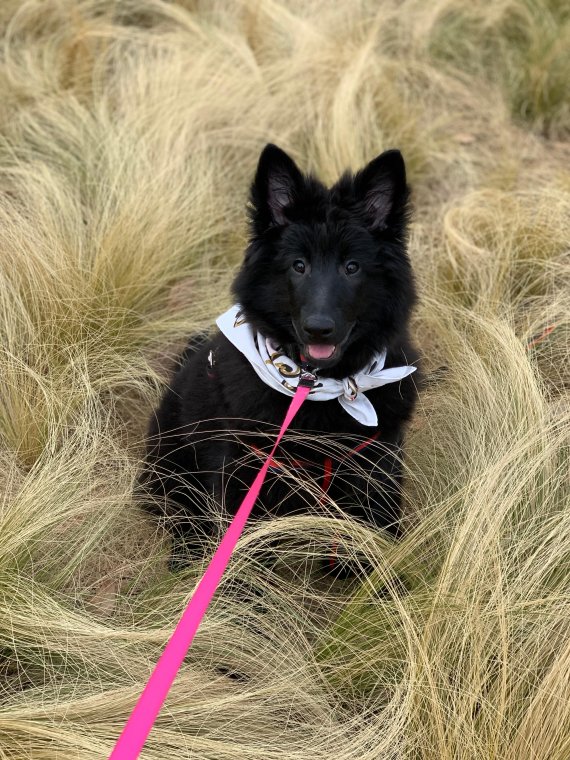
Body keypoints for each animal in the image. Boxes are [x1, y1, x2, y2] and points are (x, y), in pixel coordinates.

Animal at [142, 144, 418, 564]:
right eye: (298, 265)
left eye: (352, 266)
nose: (319, 328)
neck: (318, 387)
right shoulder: (245, 470)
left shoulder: (375, 464)